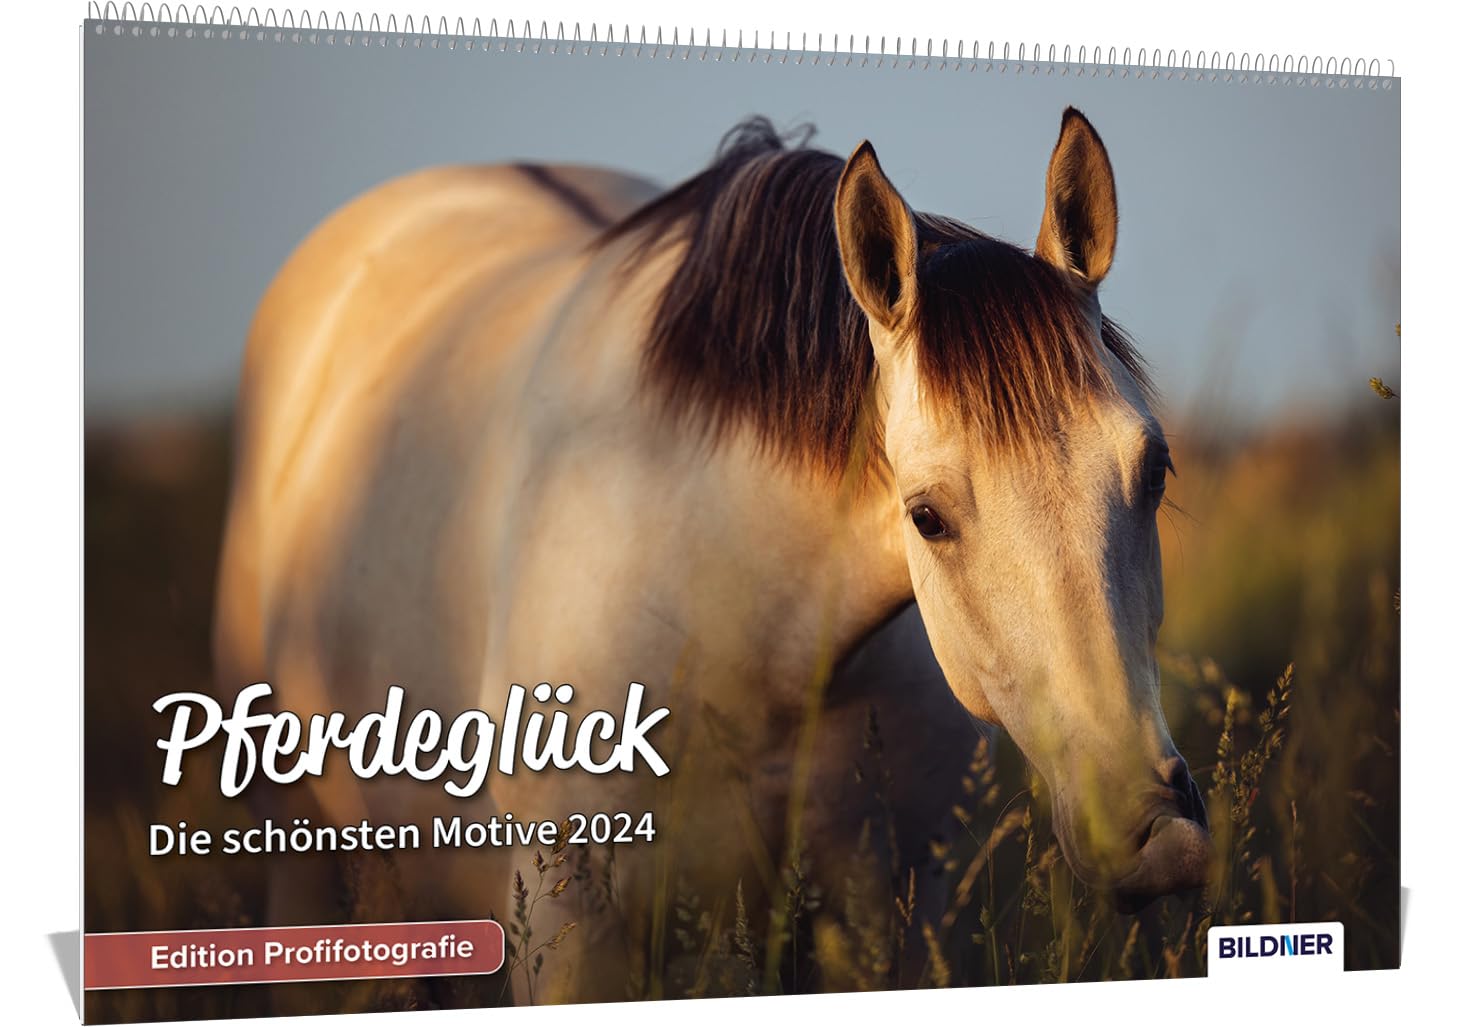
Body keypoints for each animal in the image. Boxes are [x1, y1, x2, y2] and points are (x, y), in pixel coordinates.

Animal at [211, 107, 1210, 1006]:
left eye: (1154, 469)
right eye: (926, 516)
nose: (1153, 830)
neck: (750, 622)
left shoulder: (899, 909)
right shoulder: (574, 926)